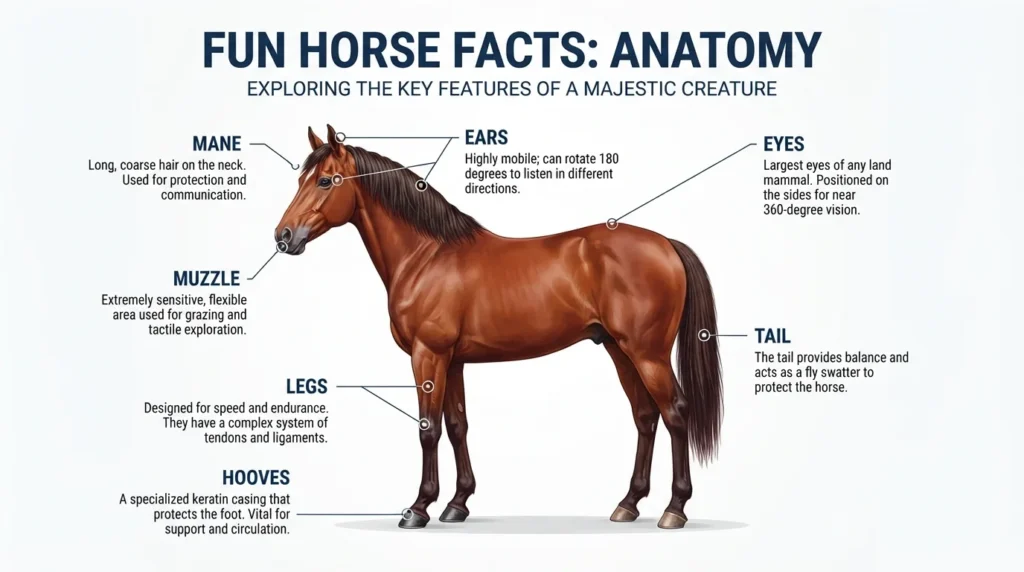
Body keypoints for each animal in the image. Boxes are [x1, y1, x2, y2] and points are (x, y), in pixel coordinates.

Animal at [274, 125, 723, 529]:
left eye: (326, 180)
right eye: (299, 179)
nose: (284, 236)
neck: (426, 256)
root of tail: (666, 244)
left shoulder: (428, 356)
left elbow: (428, 430)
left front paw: (418, 509)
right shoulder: (453, 361)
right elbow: (457, 426)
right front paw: (457, 504)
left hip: (647, 354)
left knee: (675, 413)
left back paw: (674, 510)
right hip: (618, 349)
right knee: (645, 416)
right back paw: (627, 504)